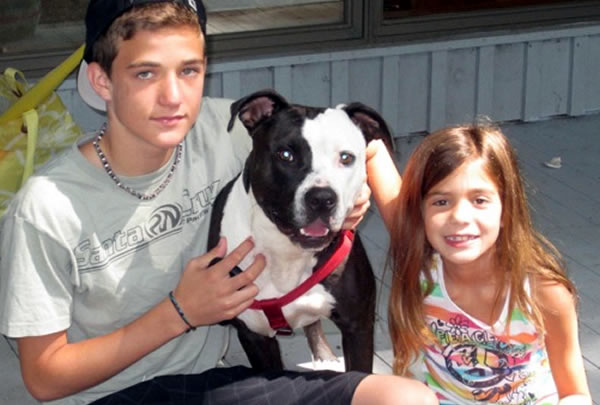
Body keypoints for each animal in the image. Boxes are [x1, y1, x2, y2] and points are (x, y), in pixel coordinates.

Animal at [207, 89, 394, 372]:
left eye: (346, 157)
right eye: (286, 155)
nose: (322, 198)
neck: (286, 252)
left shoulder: (358, 326)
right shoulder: (256, 336)